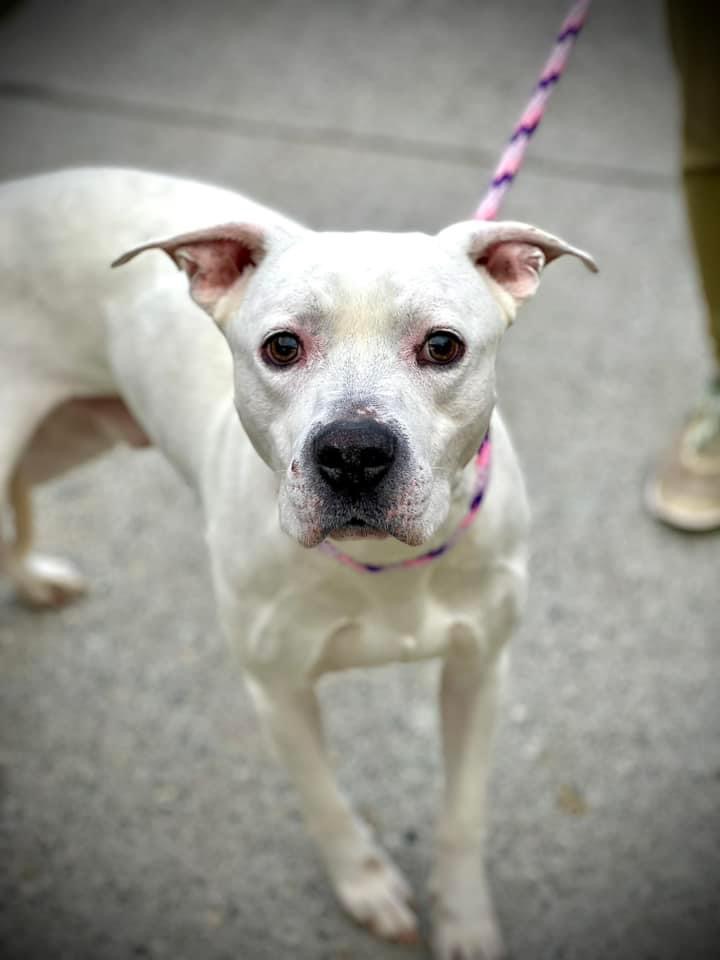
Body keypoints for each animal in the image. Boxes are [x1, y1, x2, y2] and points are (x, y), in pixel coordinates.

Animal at [0, 168, 596, 959]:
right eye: (282, 346)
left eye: (442, 346)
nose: (353, 452)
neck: (381, 562)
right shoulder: (277, 690)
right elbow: (326, 804)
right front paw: (367, 887)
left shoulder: (480, 670)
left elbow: (463, 814)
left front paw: (465, 920)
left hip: (66, 437)